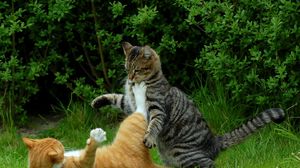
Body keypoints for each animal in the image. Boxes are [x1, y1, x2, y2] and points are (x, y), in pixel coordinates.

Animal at [22, 82, 162, 168]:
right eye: (60, 146)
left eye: (55, 141)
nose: (62, 144)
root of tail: (149, 163)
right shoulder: (82, 165)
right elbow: (89, 155)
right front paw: (96, 138)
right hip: (132, 124)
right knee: (141, 109)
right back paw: (139, 90)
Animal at [92, 41, 286, 167]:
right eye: (127, 69)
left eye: (137, 70)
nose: (130, 79)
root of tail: (214, 141)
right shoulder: (130, 105)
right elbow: (117, 98)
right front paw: (97, 101)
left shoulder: (156, 108)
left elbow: (154, 124)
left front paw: (149, 138)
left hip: (184, 154)